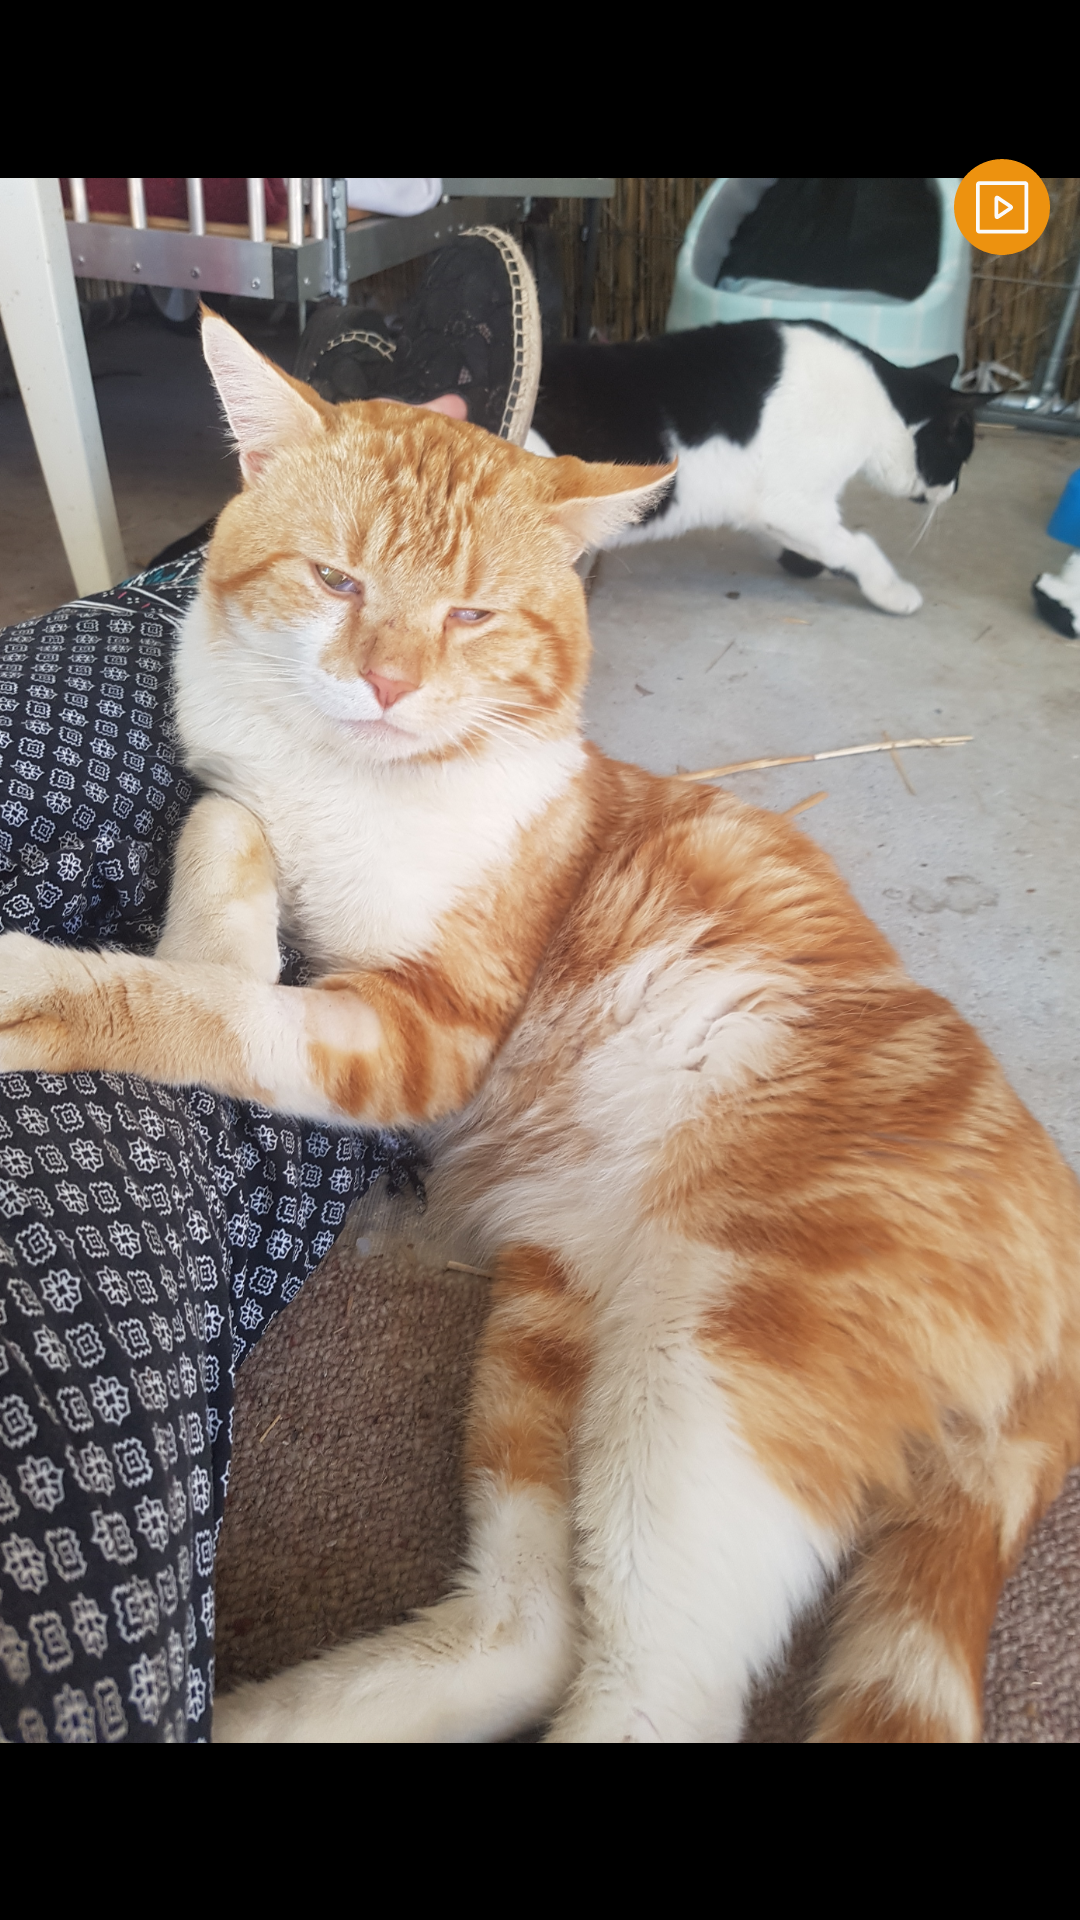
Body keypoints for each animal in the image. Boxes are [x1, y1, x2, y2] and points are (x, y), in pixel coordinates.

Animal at [527, 320, 983, 617]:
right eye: (959, 459)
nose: (956, 491)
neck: (880, 402)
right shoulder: (793, 504)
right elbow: (857, 545)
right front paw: (890, 591)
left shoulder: (764, 502)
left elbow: (802, 540)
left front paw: (807, 562)